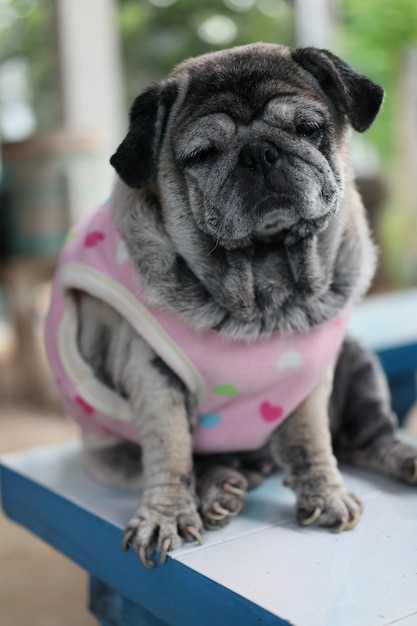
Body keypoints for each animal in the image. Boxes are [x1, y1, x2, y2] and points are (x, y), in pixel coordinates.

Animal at [44, 44, 416, 564]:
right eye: (202, 154)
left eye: (308, 128)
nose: (258, 153)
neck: (263, 288)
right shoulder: (153, 374)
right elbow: (171, 449)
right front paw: (166, 514)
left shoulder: (310, 380)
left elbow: (310, 439)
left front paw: (325, 495)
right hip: (113, 454)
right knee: (196, 461)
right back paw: (221, 486)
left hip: (358, 363)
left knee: (366, 439)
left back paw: (403, 458)